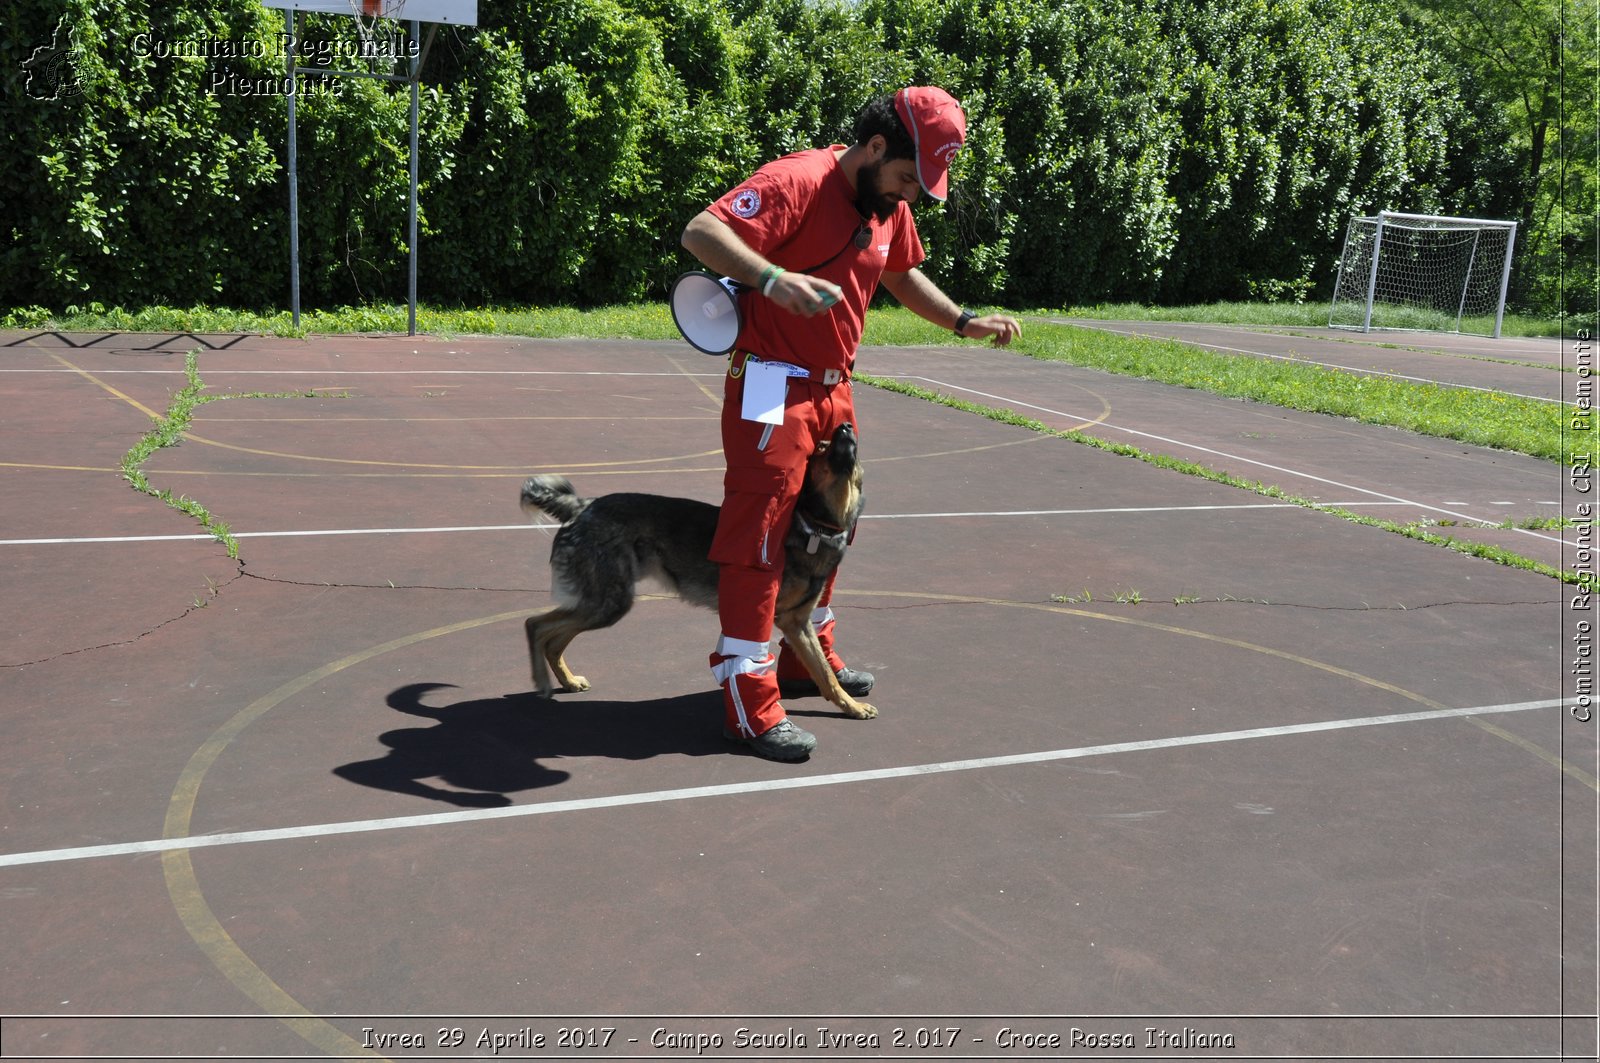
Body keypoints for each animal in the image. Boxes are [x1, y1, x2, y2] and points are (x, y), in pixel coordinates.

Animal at [521, 422, 876, 723]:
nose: (846, 424)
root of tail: (583, 506)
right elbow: (816, 670)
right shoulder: (783, 620)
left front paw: (851, 707)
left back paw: (568, 681)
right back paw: (543, 682)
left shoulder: (798, 623)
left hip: (602, 603)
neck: (814, 528)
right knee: (535, 625)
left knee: (552, 638)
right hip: (608, 604)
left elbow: (825, 673)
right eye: (822, 448)